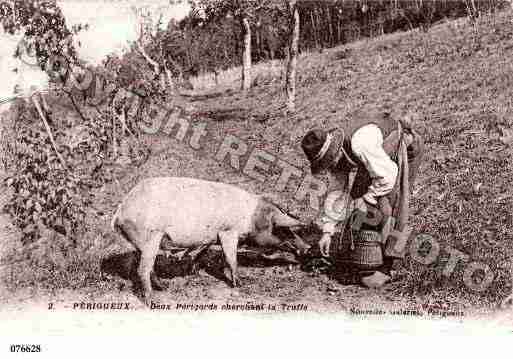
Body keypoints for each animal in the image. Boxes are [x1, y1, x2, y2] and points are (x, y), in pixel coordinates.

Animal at [111, 177, 308, 304]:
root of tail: (120, 211)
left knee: (144, 266)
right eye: (281, 229)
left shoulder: (213, 237)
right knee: (143, 269)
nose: (307, 247)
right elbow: (231, 258)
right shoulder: (228, 231)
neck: (251, 218)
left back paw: (164, 287)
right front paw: (240, 284)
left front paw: (193, 269)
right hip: (151, 237)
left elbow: (203, 252)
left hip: (142, 244)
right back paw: (153, 301)